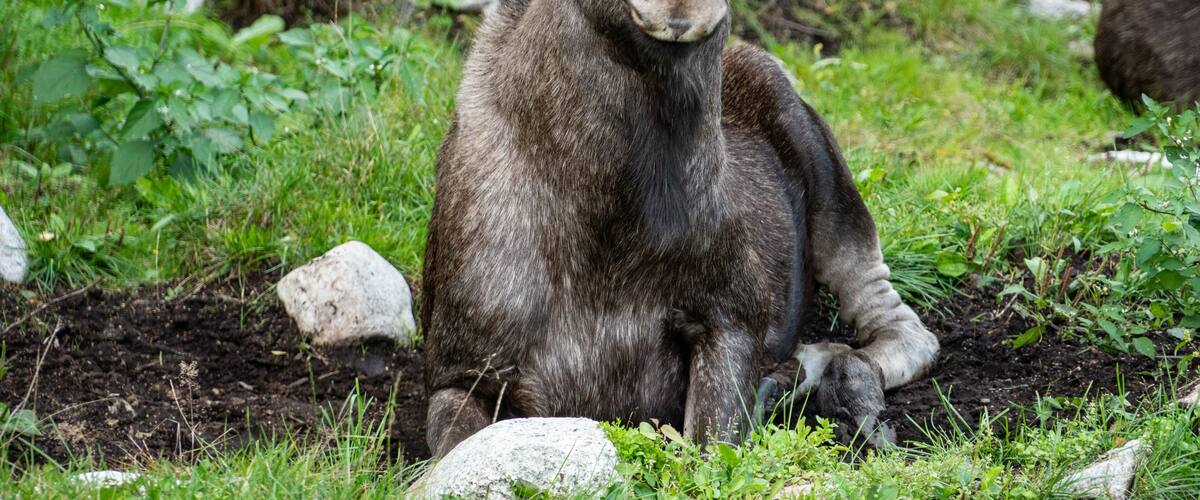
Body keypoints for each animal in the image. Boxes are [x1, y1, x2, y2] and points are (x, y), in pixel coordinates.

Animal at [420, 0, 939, 457]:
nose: (681, 8)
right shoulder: (459, 377)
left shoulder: (728, 324)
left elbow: (709, 449)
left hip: (835, 198)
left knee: (897, 326)